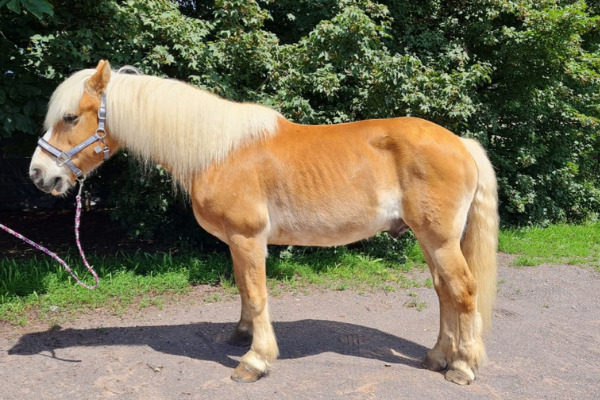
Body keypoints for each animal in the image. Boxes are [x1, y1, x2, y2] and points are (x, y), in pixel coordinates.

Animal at [29, 61, 496, 386]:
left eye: (71, 117)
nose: (38, 174)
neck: (218, 151)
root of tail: (460, 143)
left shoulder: (247, 237)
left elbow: (255, 295)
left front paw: (254, 361)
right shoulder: (236, 242)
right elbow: (242, 289)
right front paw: (242, 335)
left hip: (439, 240)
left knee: (462, 291)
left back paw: (462, 367)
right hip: (430, 241)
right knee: (444, 293)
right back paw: (438, 357)